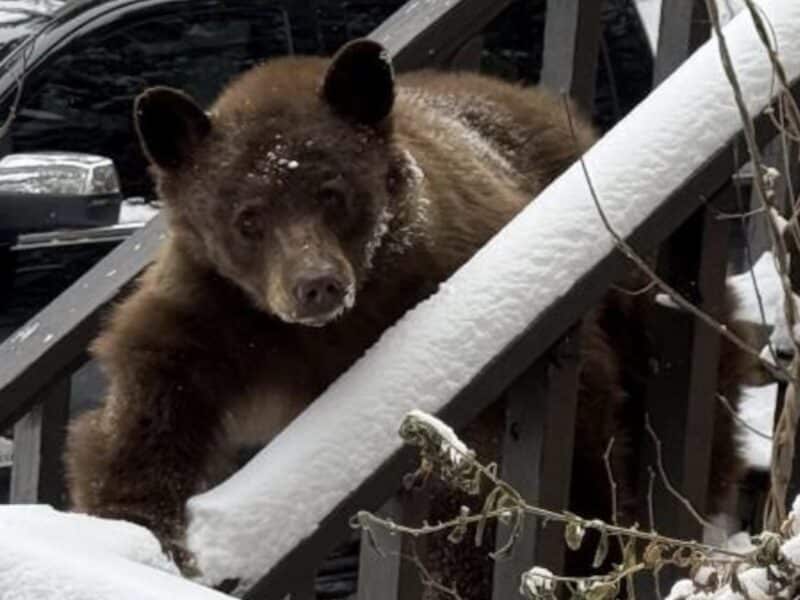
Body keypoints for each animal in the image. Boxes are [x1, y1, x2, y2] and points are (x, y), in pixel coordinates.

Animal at [64, 38, 748, 593]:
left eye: (332, 193)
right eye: (247, 217)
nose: (317, 286)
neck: (320, 337)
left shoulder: (442, 285)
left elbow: (499, 466)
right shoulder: (214, 311)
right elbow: (143, 410)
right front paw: (139, 529)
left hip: (638, 279)